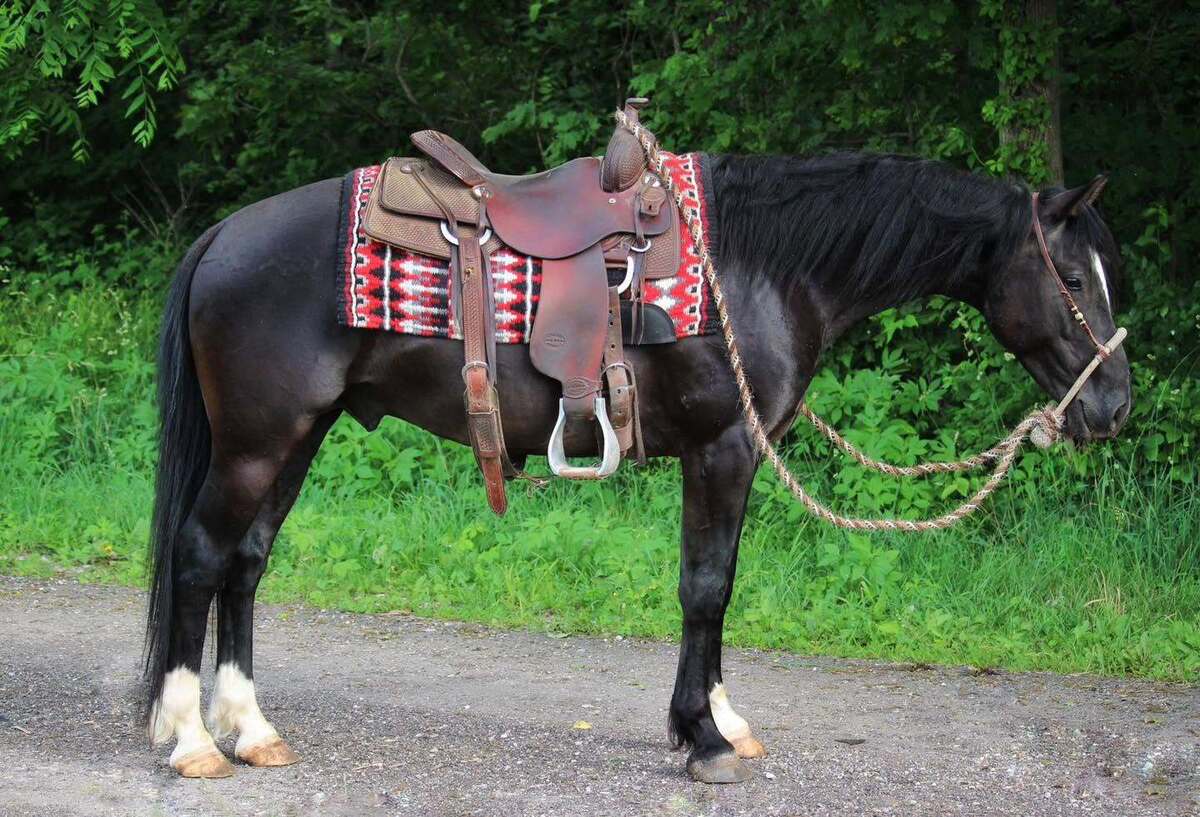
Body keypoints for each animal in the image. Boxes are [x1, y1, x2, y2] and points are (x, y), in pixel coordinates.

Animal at [142, 148, 1131, 784]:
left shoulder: (730, 454)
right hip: (258, 441)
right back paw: (191, 739)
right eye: (1075, 277)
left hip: (297, 437)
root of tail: (224, 235)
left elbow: (718, 586)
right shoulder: (724, 448)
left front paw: (720, 719)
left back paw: (251, 728)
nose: (1113, 406)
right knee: (199, 555)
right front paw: (704, 738)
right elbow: (706, 585)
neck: (757, 264)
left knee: (246, 563)